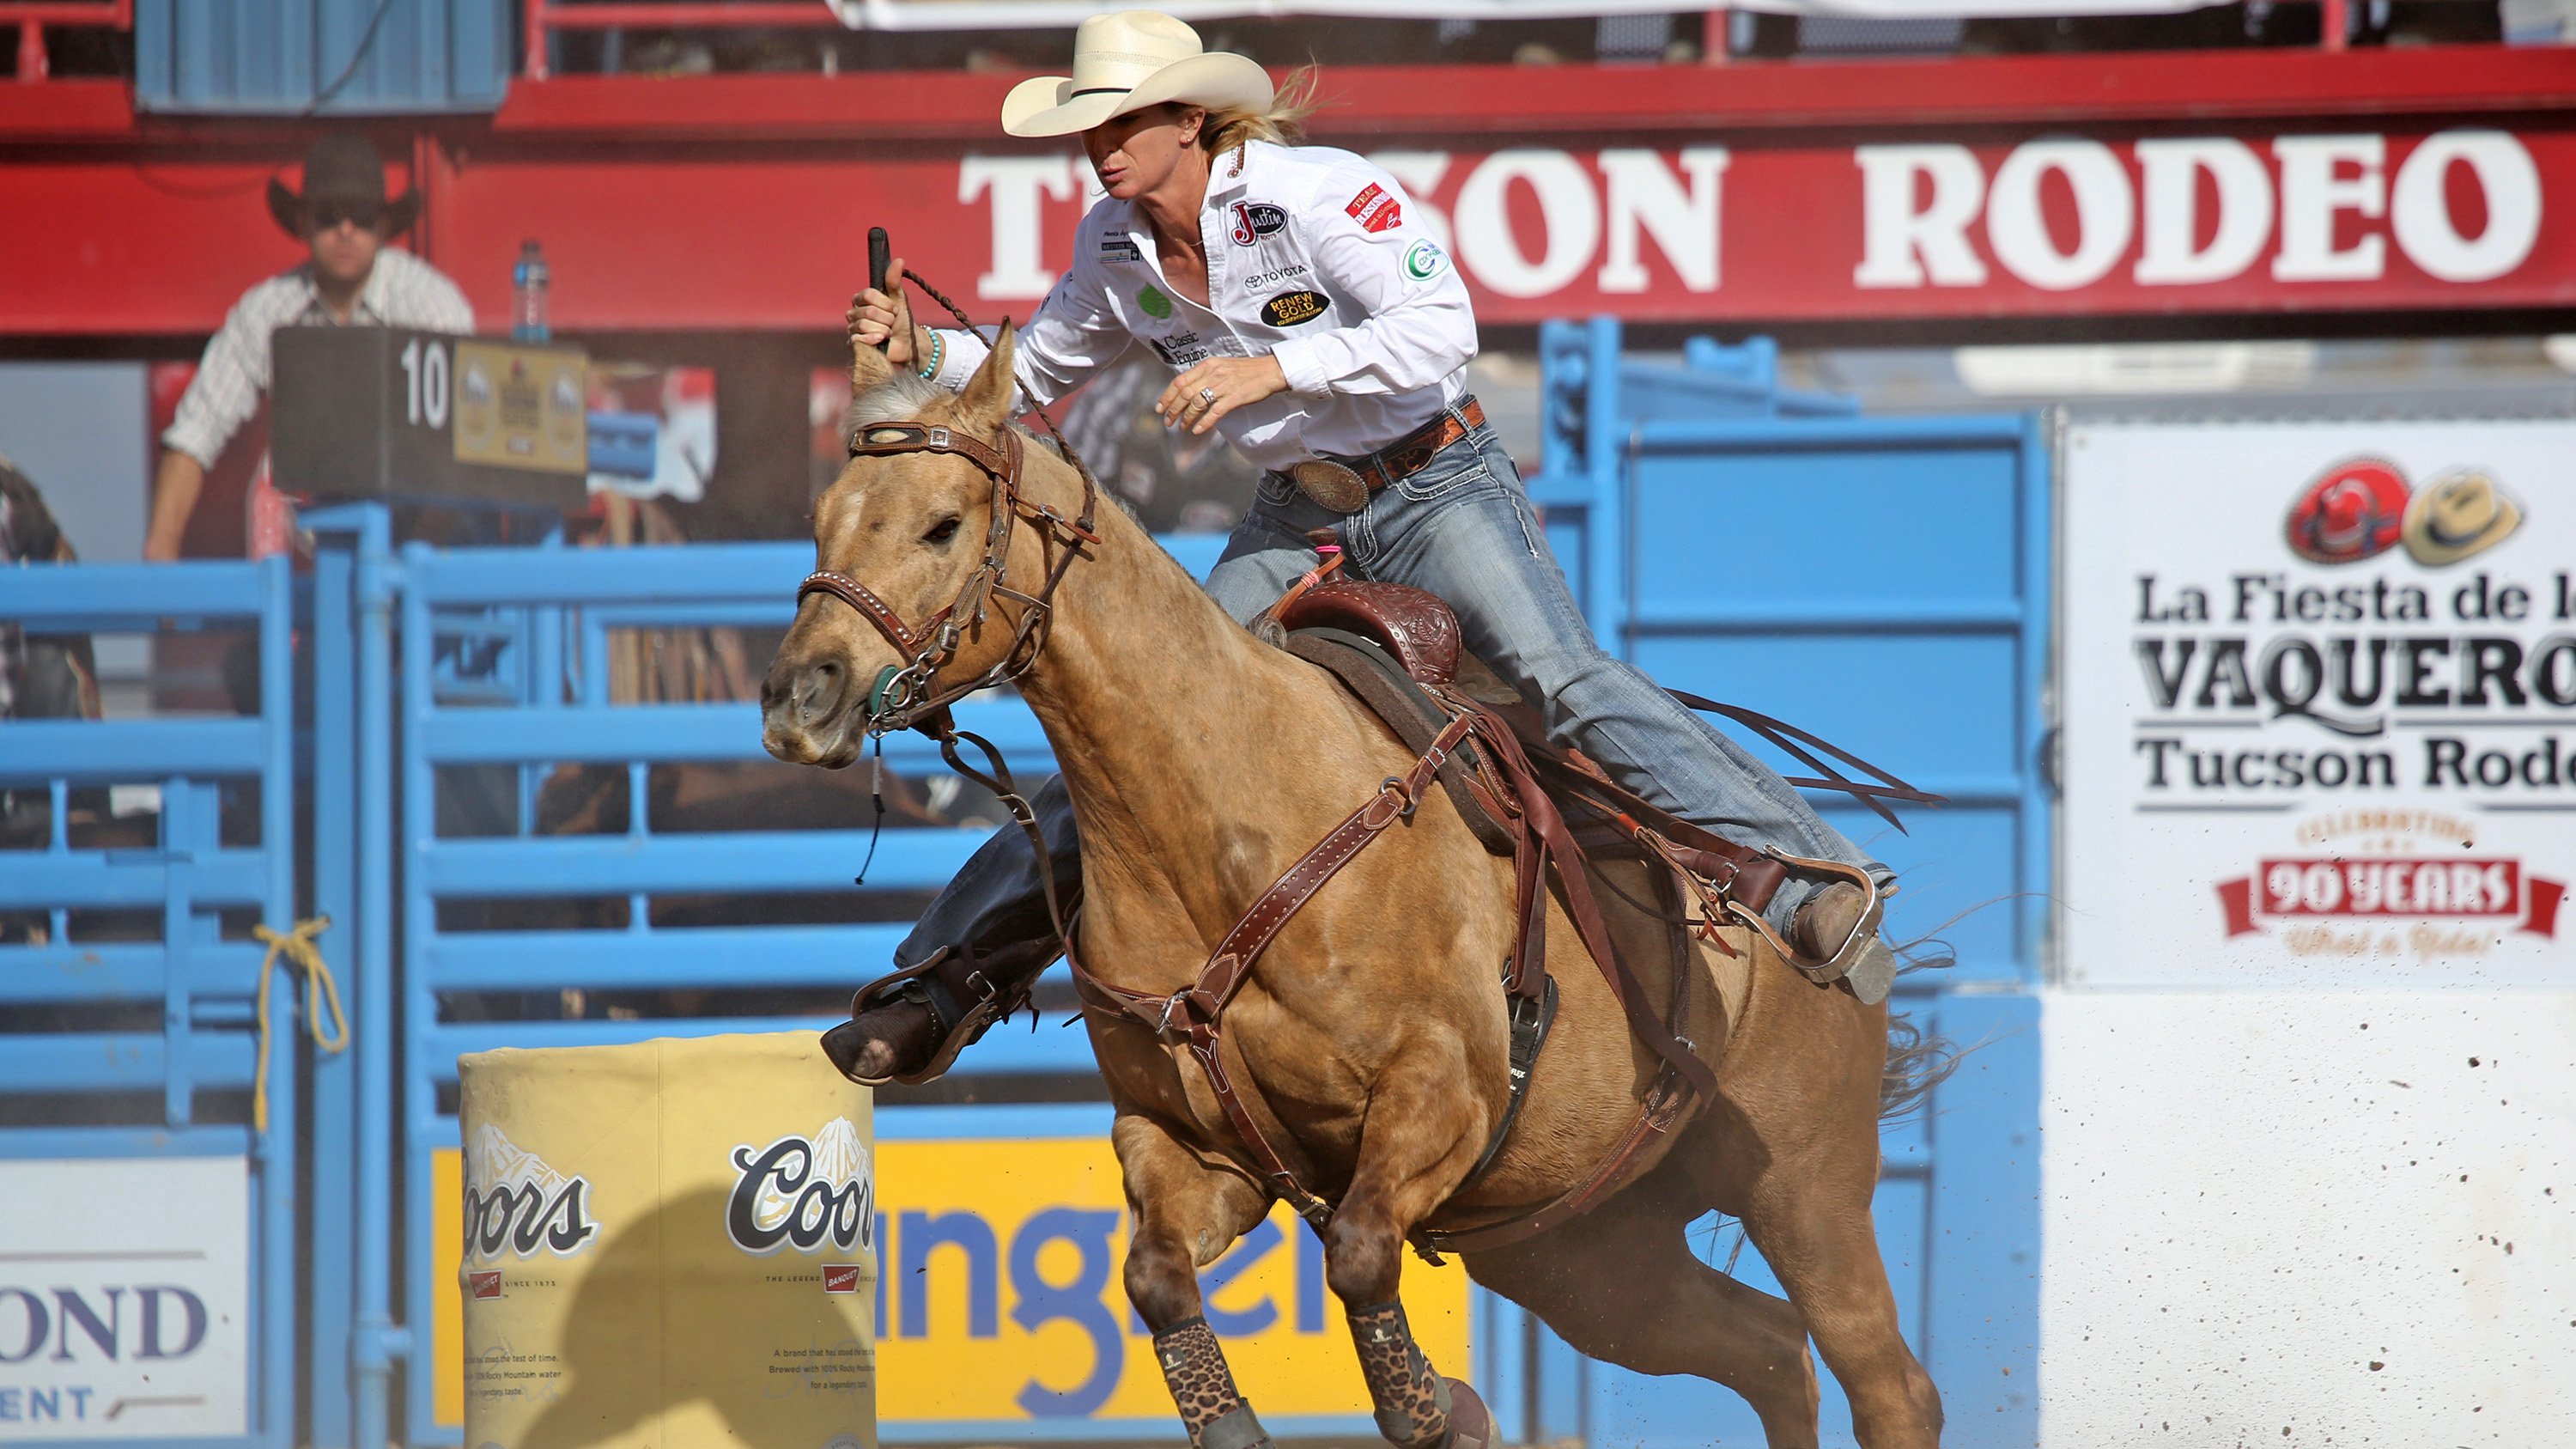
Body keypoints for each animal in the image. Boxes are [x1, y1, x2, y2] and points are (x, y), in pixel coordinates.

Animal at [762, 327, 1947, 1443]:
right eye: (823, 517)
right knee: (1770, 1351)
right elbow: (1154, 1277)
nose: (798, 694)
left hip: (1805, 1184)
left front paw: (1440, 1409)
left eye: (942, 524)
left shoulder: (1444, 1093)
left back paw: (1829, 908)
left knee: (1885, 1382)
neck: (1229, 821)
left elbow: (1365, 1256)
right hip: (1585, 1254)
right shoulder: (1188, 1144)